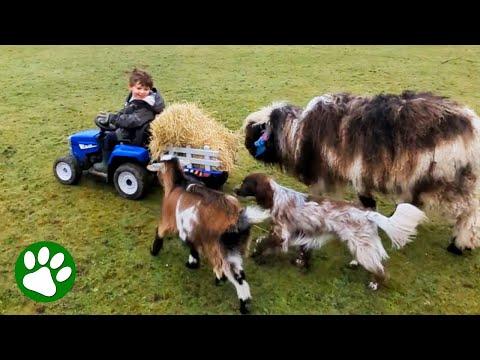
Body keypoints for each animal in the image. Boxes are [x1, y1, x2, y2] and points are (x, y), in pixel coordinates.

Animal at [146, 156, 270, 314]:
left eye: (158, 161)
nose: (149, 164)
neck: (176, 185)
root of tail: (238, 218)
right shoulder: (193, 231)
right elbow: (193, 245)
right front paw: (193, 263)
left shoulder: (171, 221)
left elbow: (161, 232)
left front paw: (154, 251)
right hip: (234, 248)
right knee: (239, 274)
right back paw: (223, 282)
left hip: (223, 248)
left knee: (235, 277)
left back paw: (242, 305)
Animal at [234, 173, 426, 288]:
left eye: (246, 183)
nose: (235, 189)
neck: (276, 197)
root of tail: (368, 213)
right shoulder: (302, 233)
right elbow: (303, 251)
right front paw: (301, 263)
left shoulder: (281, 234)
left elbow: (262, 242)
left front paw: (256, 255)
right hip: (361, 242)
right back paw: (355, 263)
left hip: (362, 245)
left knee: (380, 269)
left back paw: (374, 284)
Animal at [244, 90, 480, 255]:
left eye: (256, 129)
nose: (246, 146)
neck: (296, 132)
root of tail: (471, 126)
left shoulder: (341, 173)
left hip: (446, 180)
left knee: (469, 212)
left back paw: (460, 244)